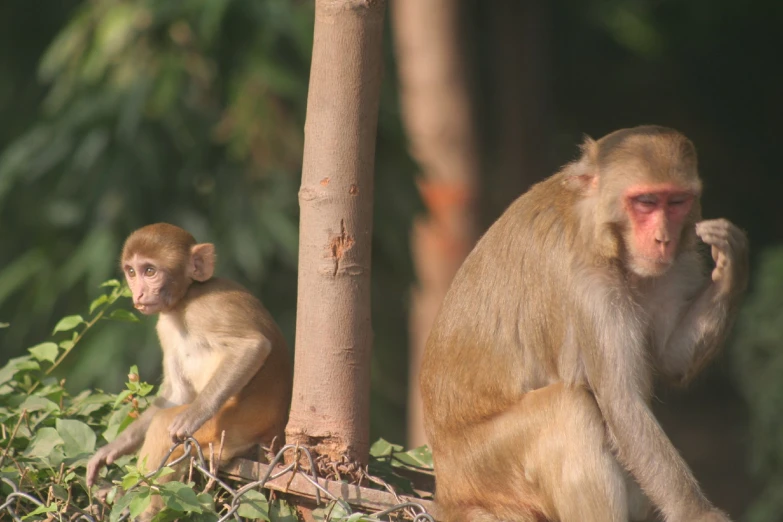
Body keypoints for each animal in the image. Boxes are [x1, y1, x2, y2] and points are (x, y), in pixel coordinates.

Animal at [420, 126, 752, 520]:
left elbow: (670, 359)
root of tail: (444, 491)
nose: (663, 239)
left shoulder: (676, 264)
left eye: (675, 202)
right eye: (645, 202)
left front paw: (732, 265)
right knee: (569, 410)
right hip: (482, 471)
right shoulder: (587, 283)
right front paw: (698, 513)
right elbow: (621, 402)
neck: (606, 235)